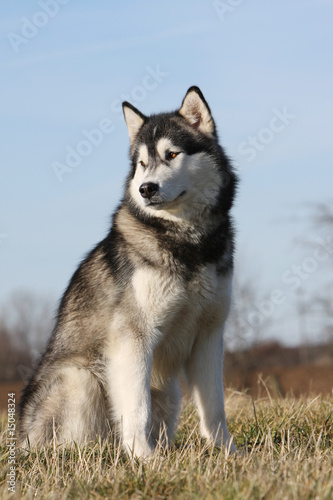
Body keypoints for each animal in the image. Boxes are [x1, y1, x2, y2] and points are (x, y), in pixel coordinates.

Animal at [17, 87, 236, 458]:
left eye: (172, 154)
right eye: (142, 164)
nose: (146, 188)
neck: (186, 242)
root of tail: (21, 439)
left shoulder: (208, 334)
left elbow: (215, 407)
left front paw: (229, 453)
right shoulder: (133, 337)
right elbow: (136, 407)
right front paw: (143, 457)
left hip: (168, 390)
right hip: (82, 377)